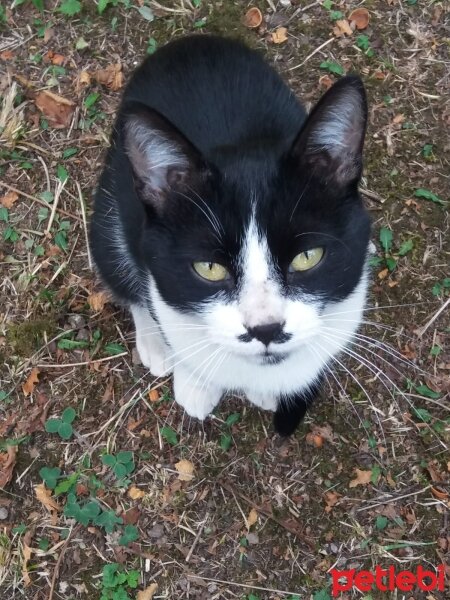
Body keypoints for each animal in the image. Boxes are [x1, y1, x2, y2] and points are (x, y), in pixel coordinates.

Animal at [89, 34, 370, 436]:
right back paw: (155, 345)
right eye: (209, 268)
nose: (266, 330)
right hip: (110, 208)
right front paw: (194, 381)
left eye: (308, 257)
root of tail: (188, 41)